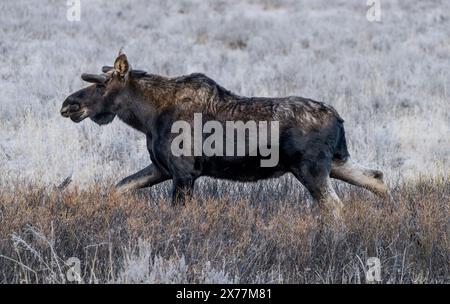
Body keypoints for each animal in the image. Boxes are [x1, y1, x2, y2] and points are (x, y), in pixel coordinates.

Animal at [61, 52, 388, 216]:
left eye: (102, 85)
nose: (69, 104)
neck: (146, 117)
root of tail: (339, 119)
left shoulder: (184, 173)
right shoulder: (162, 167)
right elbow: (118, 187)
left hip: (311, 169)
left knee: (336, 205)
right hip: (335, 162)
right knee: (377, 178)